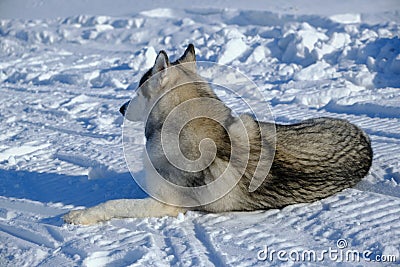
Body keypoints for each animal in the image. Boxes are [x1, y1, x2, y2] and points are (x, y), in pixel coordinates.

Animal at [64, 45, 374, 225]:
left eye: (138, 89)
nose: (121, 108)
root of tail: (367, 142)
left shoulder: (164, 204)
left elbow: (112, 203)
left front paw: (79, 215)